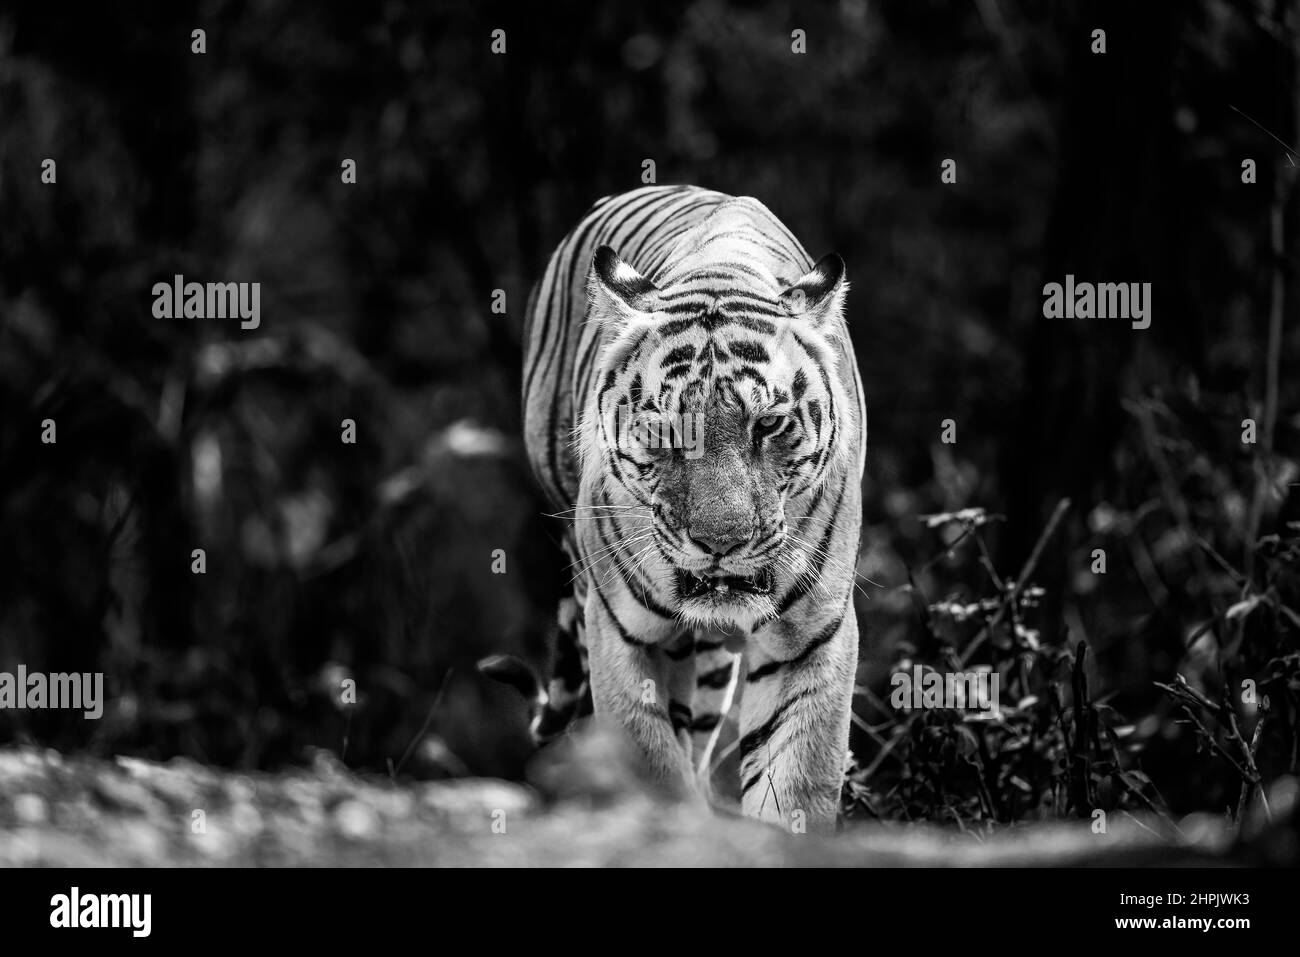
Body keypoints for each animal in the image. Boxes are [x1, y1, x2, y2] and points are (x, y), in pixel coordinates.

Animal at [483, 187, 868, 832]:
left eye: (769, 424)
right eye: (665, 429)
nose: (721, 543)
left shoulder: (814, 636)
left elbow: (796, 783)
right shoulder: (623, 632)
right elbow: (649, 762)